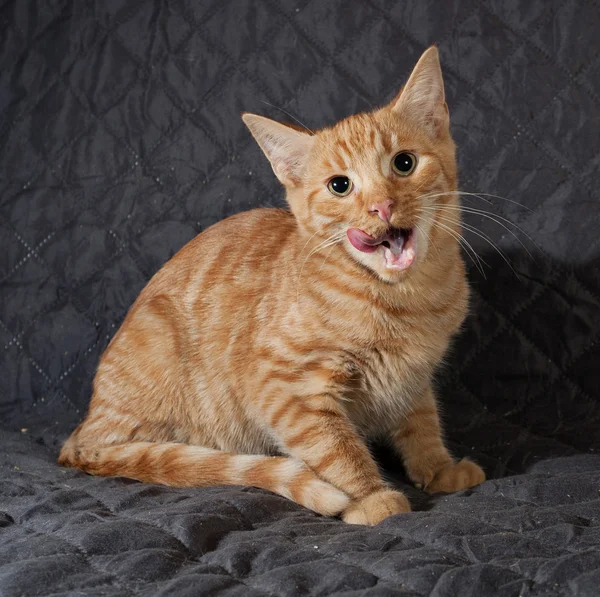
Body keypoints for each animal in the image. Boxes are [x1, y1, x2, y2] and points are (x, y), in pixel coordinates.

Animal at [58, 47, 486, 520]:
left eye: (404, 163)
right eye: (340, 186)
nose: (382, 206)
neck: (408, 298)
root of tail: (80, 433)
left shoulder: (413, 378)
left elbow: (422, 422)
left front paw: (438, 468)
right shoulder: (286, 389)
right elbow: (337, 449)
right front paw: (372, 498)